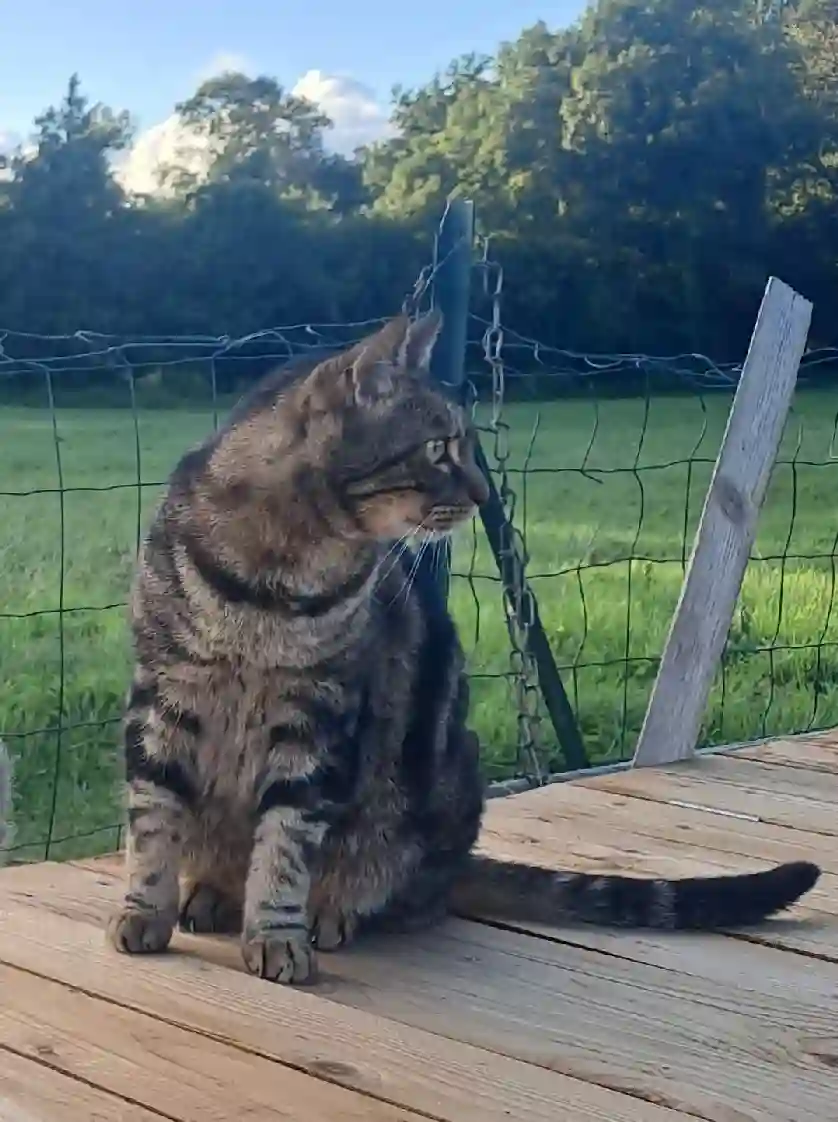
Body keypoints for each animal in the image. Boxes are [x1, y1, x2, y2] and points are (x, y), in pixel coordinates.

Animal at [108, 309, 821, 982]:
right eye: (438, 448)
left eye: (464, 449)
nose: (481, 494)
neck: (275, 577)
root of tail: (459, 862)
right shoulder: (162, 696)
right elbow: (154, 823)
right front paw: (146, 910)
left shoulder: (318, 717)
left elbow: (284, 844)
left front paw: (277, 932)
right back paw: (209, 893)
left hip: (436, 787)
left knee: (406, 896)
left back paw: (333, 912)